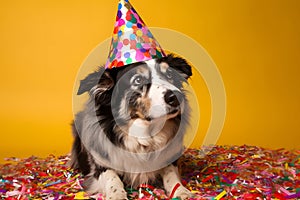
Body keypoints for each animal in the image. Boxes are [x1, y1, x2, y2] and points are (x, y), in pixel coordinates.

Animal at [69, 54, 192, 199]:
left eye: (170, 74)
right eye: (138, 80)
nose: (176, 96)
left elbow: (171, 174)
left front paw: (181, 191)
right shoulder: (100, 165)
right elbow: (112, 177)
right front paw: (116, 194)